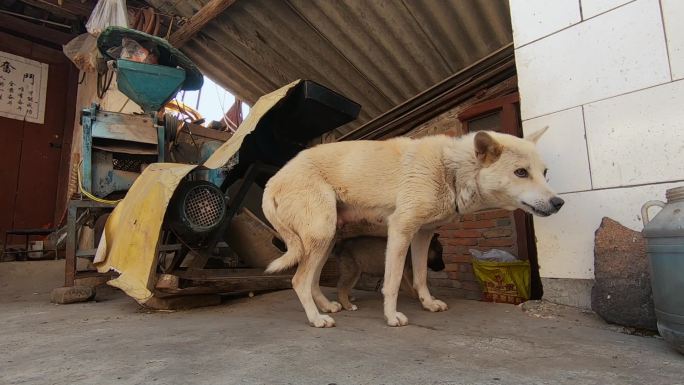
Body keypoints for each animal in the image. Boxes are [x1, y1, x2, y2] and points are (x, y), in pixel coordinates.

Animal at [262, 127, 560, 326]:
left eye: (544, 173)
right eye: (521, 172)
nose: (558, 203)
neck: (450, 170)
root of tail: (272, 181)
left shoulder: (422, 235)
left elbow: (421, 276)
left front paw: (428, 303)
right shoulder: (400, 230)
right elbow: (392, 282)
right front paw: (391, 316)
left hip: (325, 239)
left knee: (311, 281)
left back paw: (326, 307)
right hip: (321, 235)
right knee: (299, 281)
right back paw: (316, 319)